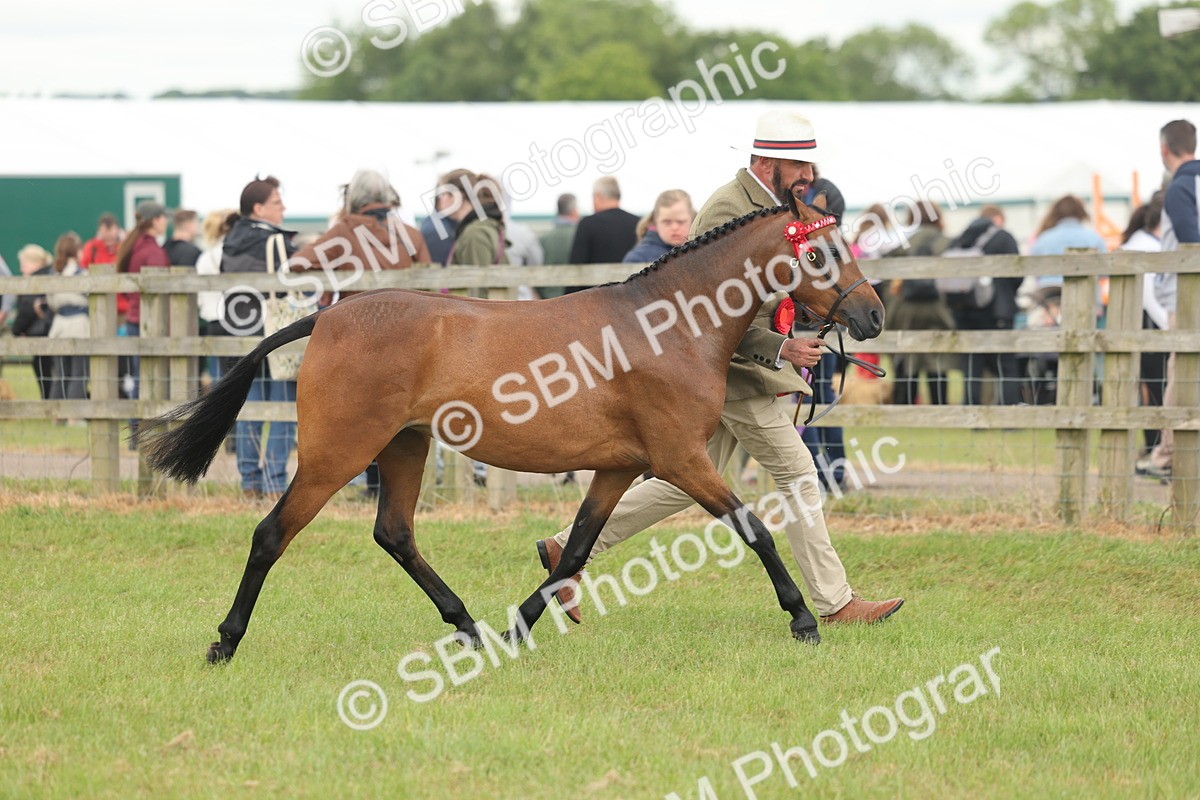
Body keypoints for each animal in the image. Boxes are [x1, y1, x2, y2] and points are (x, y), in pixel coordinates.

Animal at [140, 197, 885, 664]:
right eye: (820, 254)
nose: (874, 316)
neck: (668, 323)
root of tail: (326, 316)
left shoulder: (620, 466)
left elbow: (577, 549)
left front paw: (518, 628)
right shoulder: (679, 458)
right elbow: (754, 529)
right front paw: (803, 619)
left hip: (405, 445)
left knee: (395, 533)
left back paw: (470, 628)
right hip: (337, 452)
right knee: (272, 534)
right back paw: (225, 641)